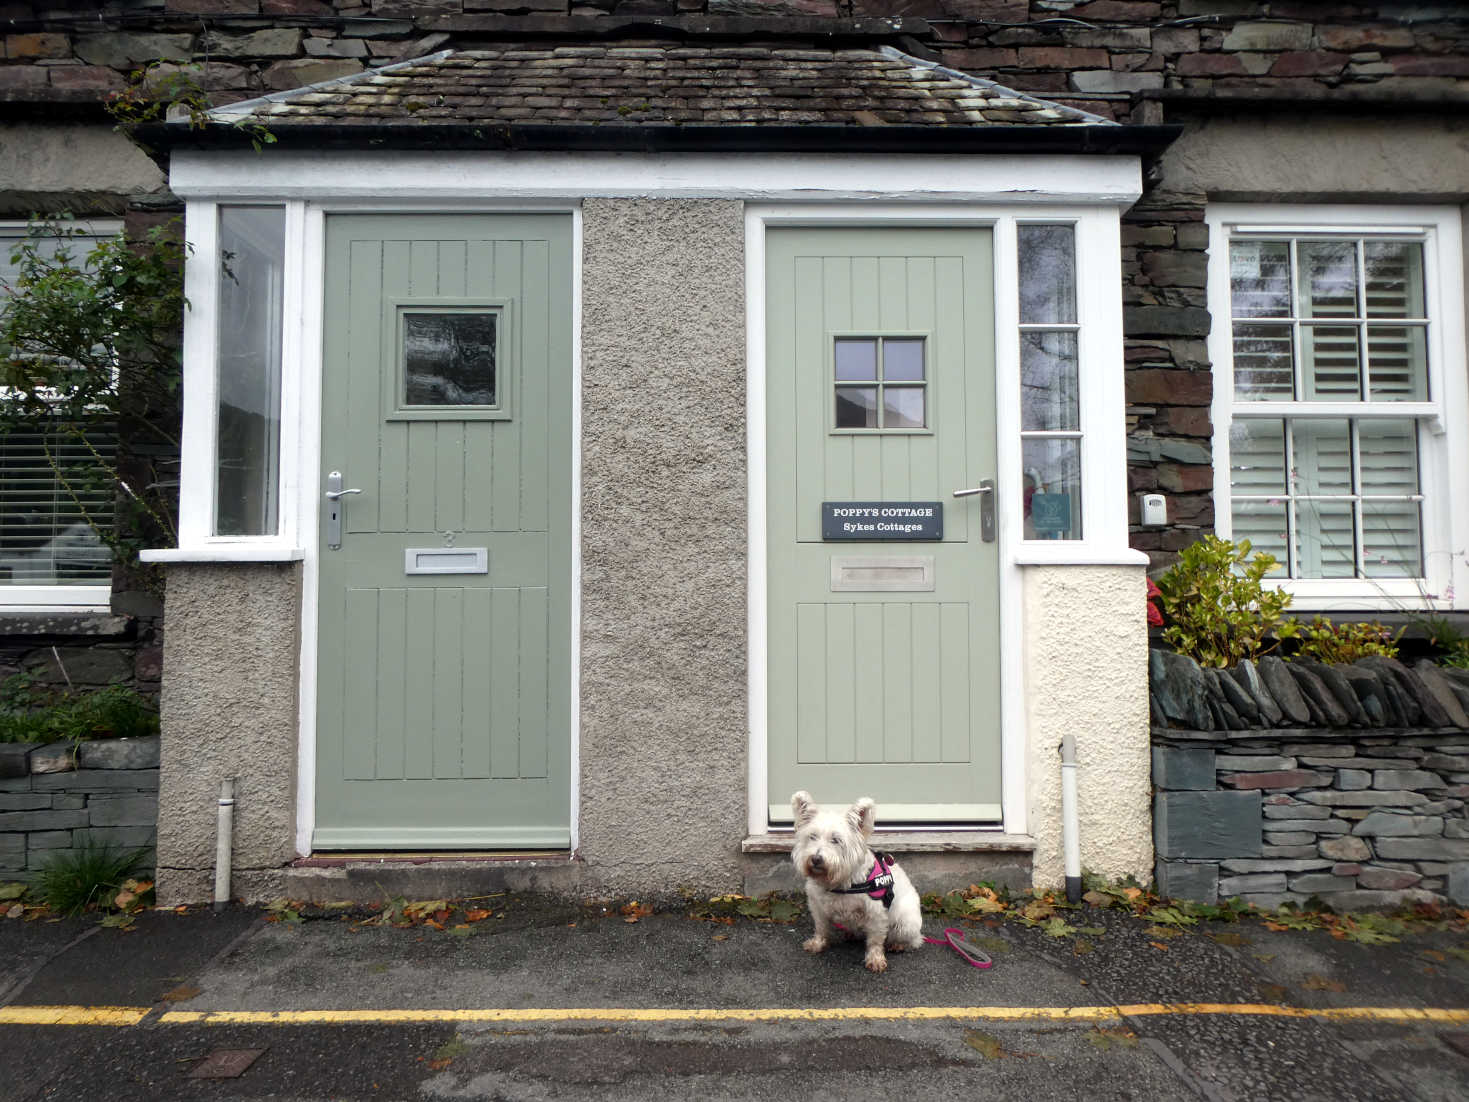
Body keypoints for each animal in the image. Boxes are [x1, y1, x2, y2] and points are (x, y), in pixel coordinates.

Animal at [793, 793, 916, 975]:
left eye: (836, 840)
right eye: (812, 836)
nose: (816, 859)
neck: (840, 882)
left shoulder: (876, 913)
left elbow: (875, 940)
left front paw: (875, 959)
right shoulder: (817, 907)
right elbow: (821, 928)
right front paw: (817, 944)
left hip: (905, 923)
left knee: (913, 940)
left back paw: (898, 944)